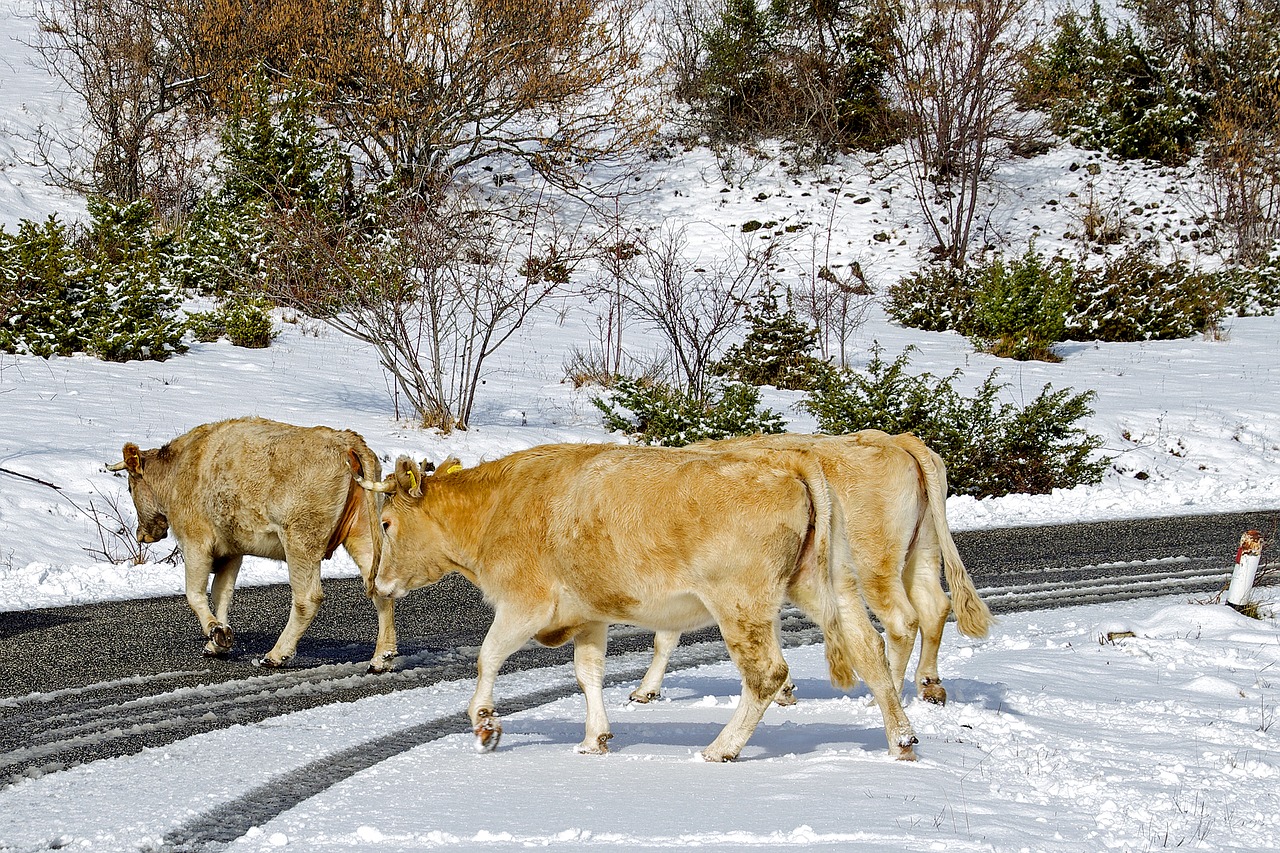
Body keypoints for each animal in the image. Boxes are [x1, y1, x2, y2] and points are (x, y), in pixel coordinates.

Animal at [108, 417, 396, 671]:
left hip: (300, 540)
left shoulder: (196, 542)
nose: (141, 534)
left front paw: (215, 632)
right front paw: (219, 640)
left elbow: (194, 593)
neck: (178, 468)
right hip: (362, 534)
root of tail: (346, 439)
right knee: (381, 588)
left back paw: (276, 655)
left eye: (130, 488)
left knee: (307, 598)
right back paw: (382, 658)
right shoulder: (231, 551)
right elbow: (222, 593)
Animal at [360, 440, 921, 758]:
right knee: (868, 648)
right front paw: (594, 739)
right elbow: (588, 674)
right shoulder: (588, 613)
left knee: (767, 674)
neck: (500, 505)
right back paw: (902, 741)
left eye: (385, 523)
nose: (376, 584)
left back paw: (721, 749)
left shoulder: (526, 603)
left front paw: (483, 723)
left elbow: (487, 656)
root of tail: (788, 460)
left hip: (742, 602)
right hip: (830, 583)